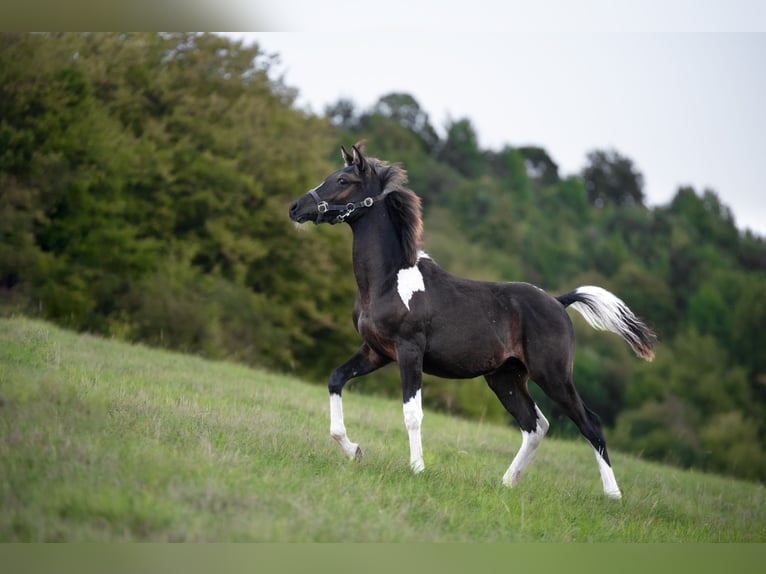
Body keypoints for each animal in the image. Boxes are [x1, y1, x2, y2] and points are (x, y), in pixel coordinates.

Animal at [288, 144, 656, 499]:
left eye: (343, 181)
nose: (295, 208)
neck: (388, 280)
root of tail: (558, 301)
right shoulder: (376, 351)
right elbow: (336, 379)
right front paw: (354, 450)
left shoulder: (409, 351)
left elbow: (412, 413)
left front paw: (417, 468)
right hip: (506, 377)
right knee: (536, 425)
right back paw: (507, 482)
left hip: (553, 376)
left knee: (589, 423)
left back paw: (613, 494)